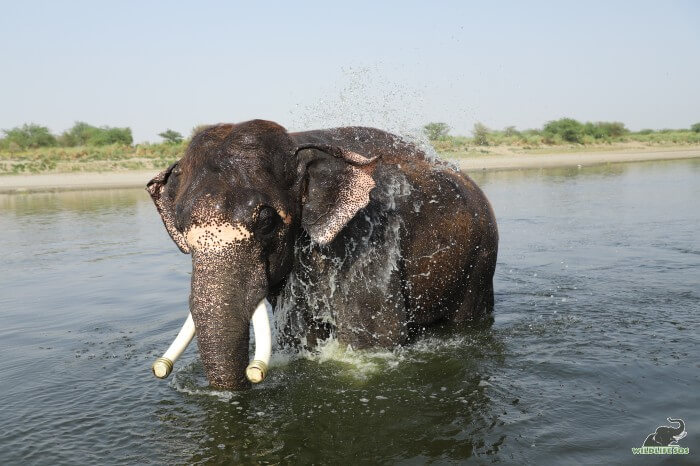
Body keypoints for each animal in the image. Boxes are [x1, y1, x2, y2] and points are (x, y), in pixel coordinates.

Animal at [146, 120, 498, 390]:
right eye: (180, 228)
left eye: (266, 221)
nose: (254, 374)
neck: (298, 142)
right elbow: (302, 334)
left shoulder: (369, 237)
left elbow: (374, 339)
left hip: (480, 259)